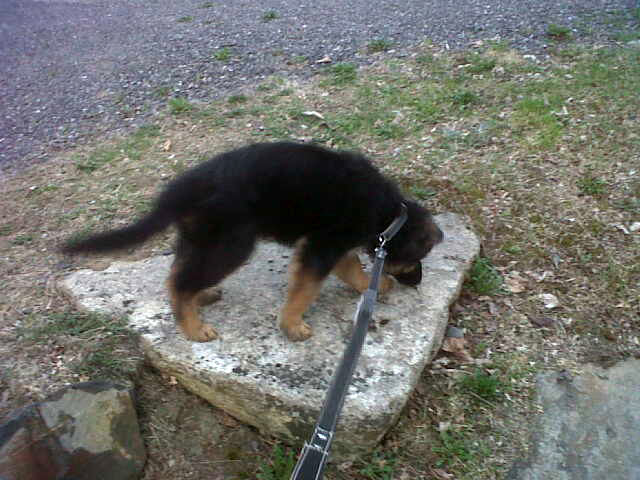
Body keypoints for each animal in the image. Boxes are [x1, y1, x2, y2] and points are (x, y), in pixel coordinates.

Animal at [62, 142, 443, 342]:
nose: (418, 282)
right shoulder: (322, 248)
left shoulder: (331, 246)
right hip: (233, 243)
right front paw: (292, 326)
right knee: (182, 281)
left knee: (178, 276)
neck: (389, 215)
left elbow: (352, 270)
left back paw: (200, 299)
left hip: (203, 238)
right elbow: (305, 290)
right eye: (420, 256)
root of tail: (182, 190)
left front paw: (375, 286)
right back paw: (193, 329)